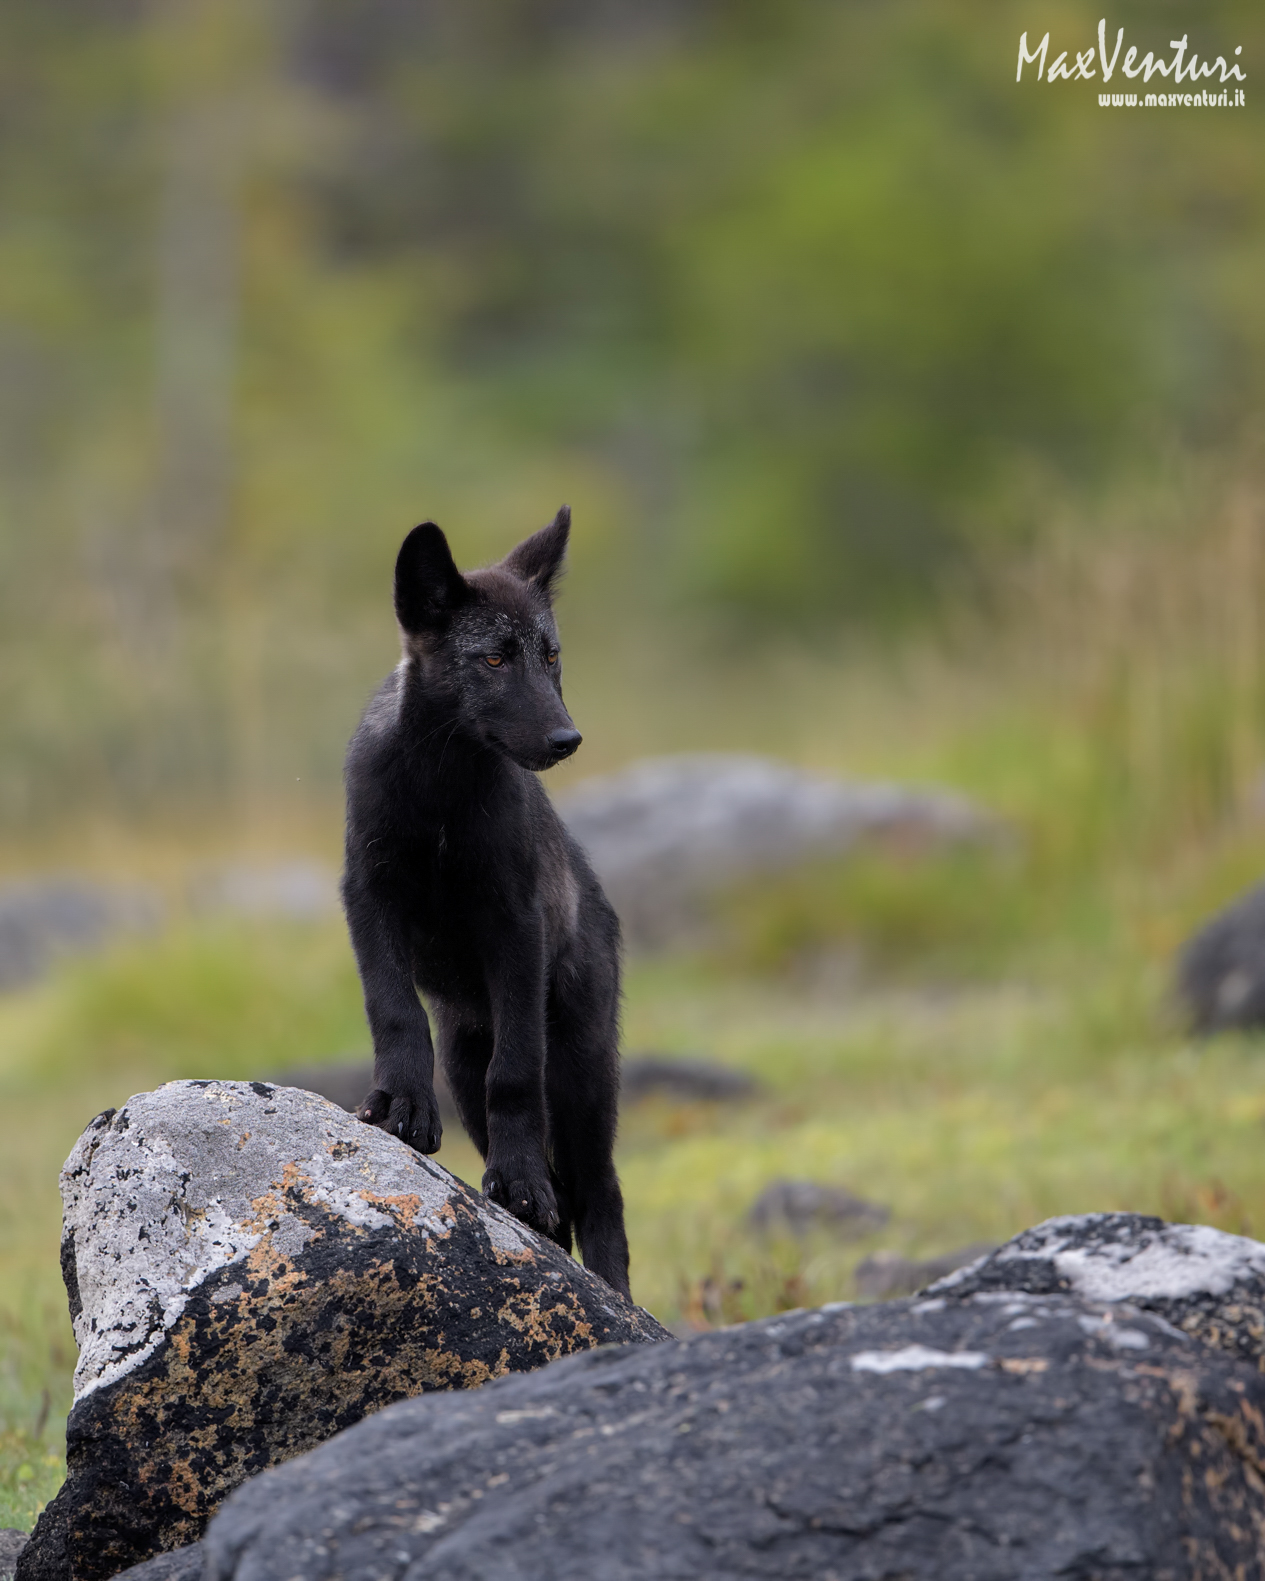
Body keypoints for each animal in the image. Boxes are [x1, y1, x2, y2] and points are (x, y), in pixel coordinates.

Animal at [341, 507, 631, 1297]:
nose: (567, 738)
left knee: (599, 1194)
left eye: (551, 656)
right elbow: (395, 1012)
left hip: (583, 1073)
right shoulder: (368, 898)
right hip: (466, 1062)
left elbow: (517, 1075)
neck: (439, 798)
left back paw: (618, 1299)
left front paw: (519, 1175)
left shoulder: (516, 928)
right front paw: (401, 1104)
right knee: (560, 1212)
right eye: (495, 660)